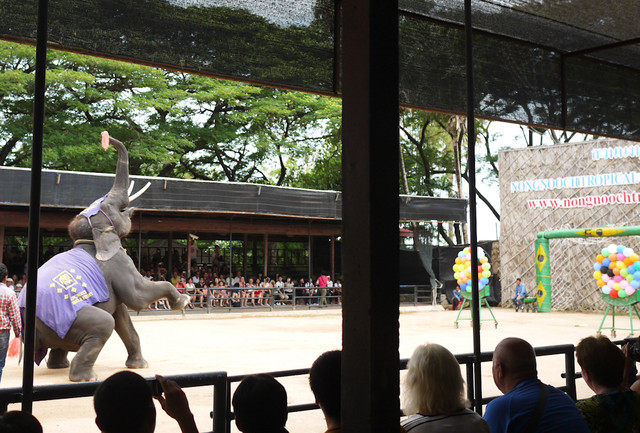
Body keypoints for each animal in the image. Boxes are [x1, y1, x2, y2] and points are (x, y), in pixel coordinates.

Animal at [18, 132, 190, 382]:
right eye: (116, 209)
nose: (105, 139)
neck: (90, 237)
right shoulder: (119, 264)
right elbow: (137, 297)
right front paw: (184, 300)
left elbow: (124, 317)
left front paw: (140, 365)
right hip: (69, 320)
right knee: (103, 324)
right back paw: (86, 377)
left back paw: (58, 366)